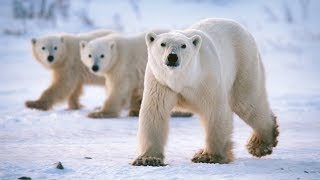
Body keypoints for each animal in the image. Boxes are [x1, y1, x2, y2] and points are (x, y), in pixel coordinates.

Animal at [131, 18, 278, 166]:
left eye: (183, 45)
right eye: (162, 44)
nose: (172, 57)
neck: (183, 79)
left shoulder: (206, 79)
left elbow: (214, 111)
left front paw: (208, 156)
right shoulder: (160, 82)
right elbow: (155, 112)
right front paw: (148, 159)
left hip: (244, 63)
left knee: (246, 103)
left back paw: (260, 144)